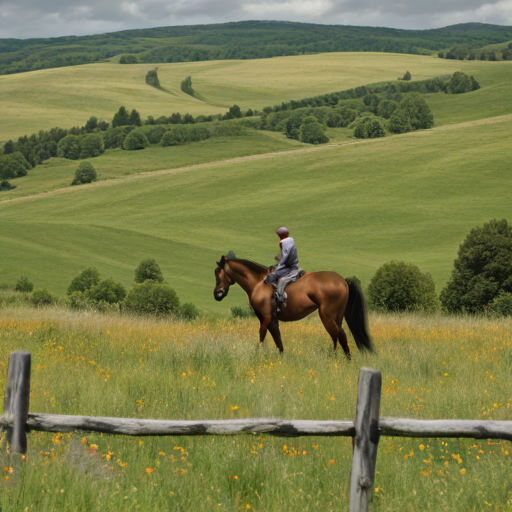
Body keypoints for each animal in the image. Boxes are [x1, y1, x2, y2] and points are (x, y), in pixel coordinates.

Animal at [213, 255, 376, 358]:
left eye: (218, 272)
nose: (217, 294)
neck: (259, 282)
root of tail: (343, 281)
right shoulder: (272, 319)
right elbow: (278, 341)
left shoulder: (265, 317)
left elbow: (262, 336)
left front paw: (259, 354)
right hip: (337, 318)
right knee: (341, 336)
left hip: (327, 317)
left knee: (337, 336)